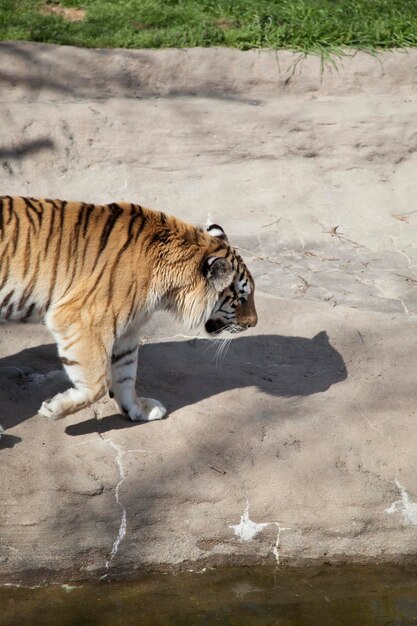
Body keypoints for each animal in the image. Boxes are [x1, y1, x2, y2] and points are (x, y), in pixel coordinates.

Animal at [0, 195, 256, 420]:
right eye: (242, 297)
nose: (254, 323)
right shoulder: (82, 319)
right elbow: (98, 383)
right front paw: (53, 409)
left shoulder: (127, 330)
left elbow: (125, 374)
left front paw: (138, 409)